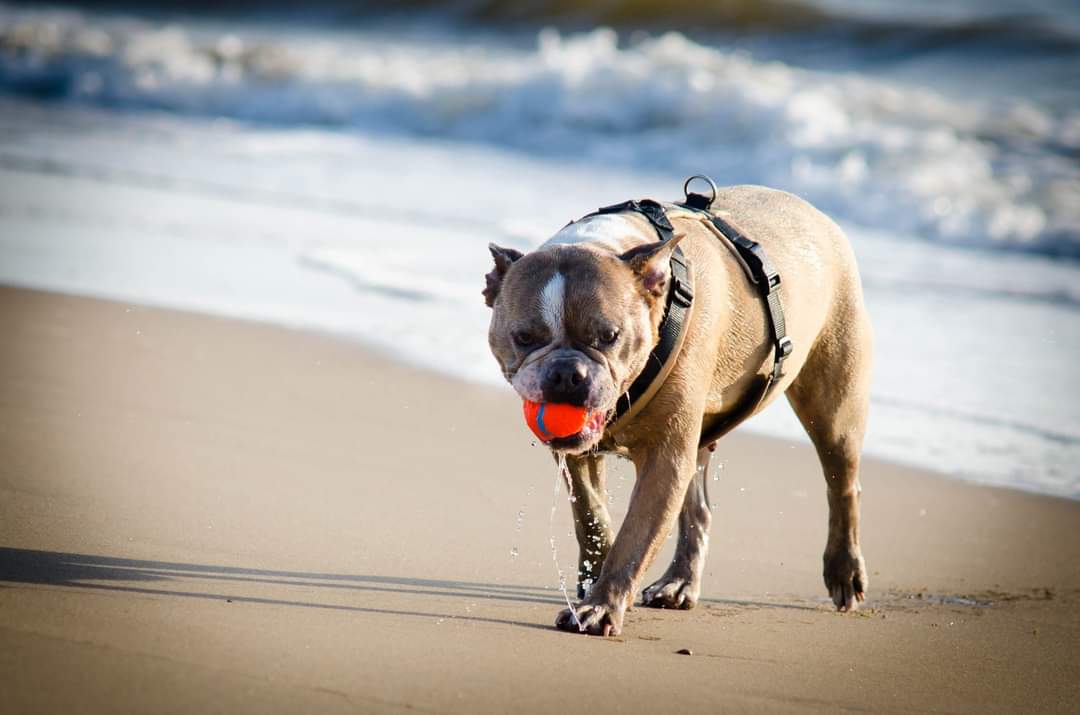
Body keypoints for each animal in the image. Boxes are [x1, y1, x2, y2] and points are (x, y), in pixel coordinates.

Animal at [486, 184, 872, 639]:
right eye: (524, 337)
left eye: (609, 335)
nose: (566, 373)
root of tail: (814, 213)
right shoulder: (581, 454)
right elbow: (591, 514)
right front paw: (594, 575)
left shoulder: (664, 459)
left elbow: (636, 536)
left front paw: (600, 606)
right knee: (697, 508)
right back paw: (680, 583)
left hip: (833, 402)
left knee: (841, 480)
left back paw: (844, 570)